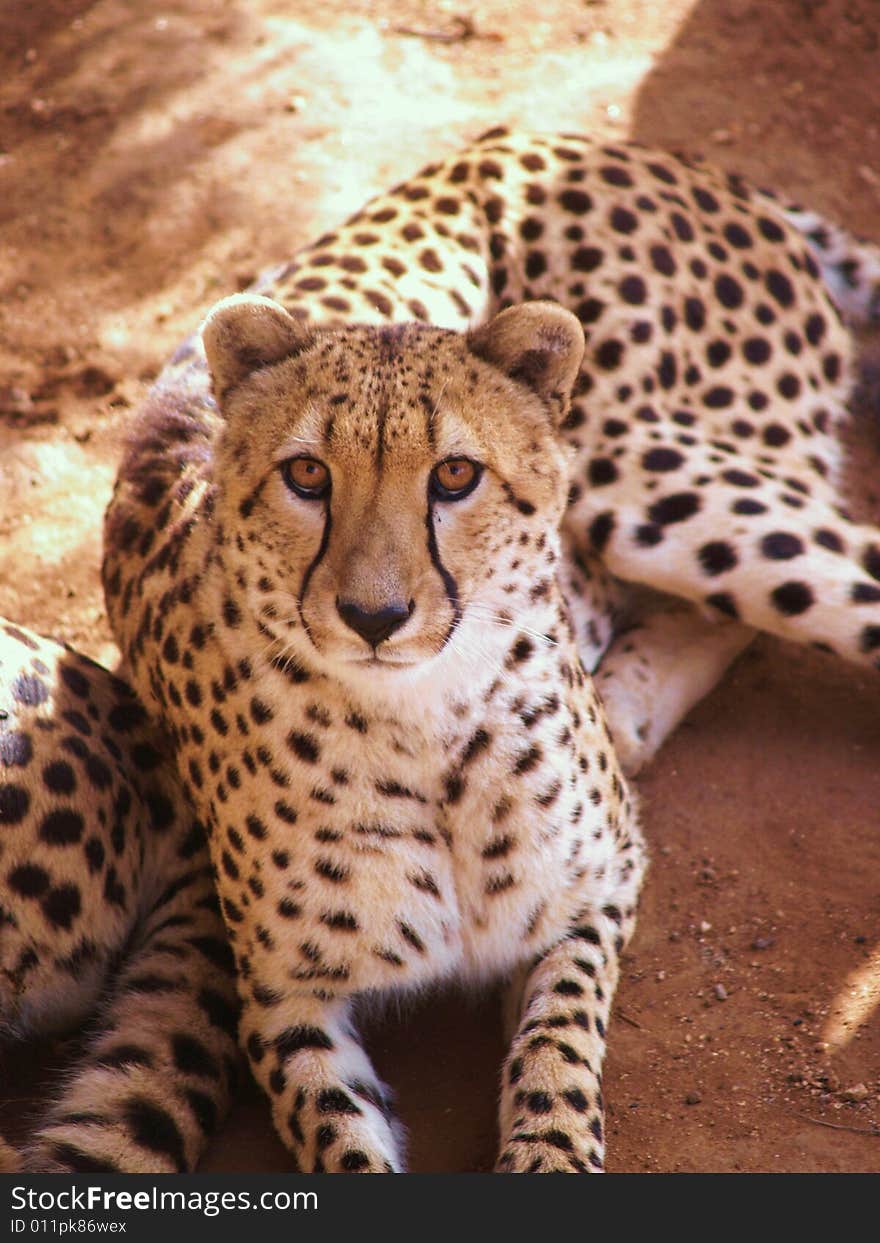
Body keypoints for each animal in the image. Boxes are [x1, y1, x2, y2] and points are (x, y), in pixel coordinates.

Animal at [105, 131, 879, 1168]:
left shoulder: (602, 884)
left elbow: (560, 1042)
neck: (427, 723)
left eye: (455, 476)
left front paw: (551, 1146)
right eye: (306, 474)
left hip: (643, 473)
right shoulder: (278, 996)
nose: (375, 614)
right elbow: (340, 1138)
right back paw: (627, 703)